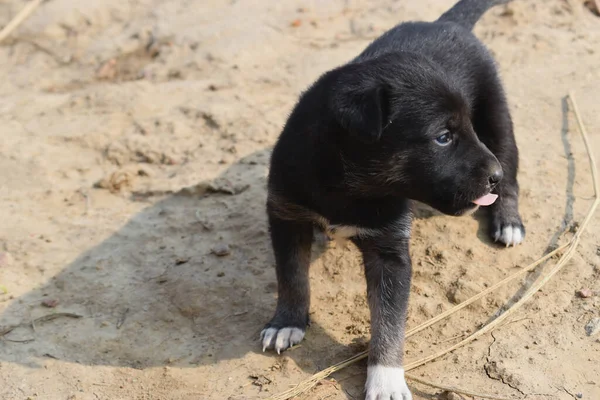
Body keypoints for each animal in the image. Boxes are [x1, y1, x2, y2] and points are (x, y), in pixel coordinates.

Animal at [260, 0, 524, 396]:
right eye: (443, 137)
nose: (493, 176)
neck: (350, 184)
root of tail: (447, 22)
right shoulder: (287, 214)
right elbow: (291, 275)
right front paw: (286, 322)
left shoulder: (390, 251)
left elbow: (388, 321)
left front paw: (386, 379)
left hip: (496, 114)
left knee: (509, 160)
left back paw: (508, 219)